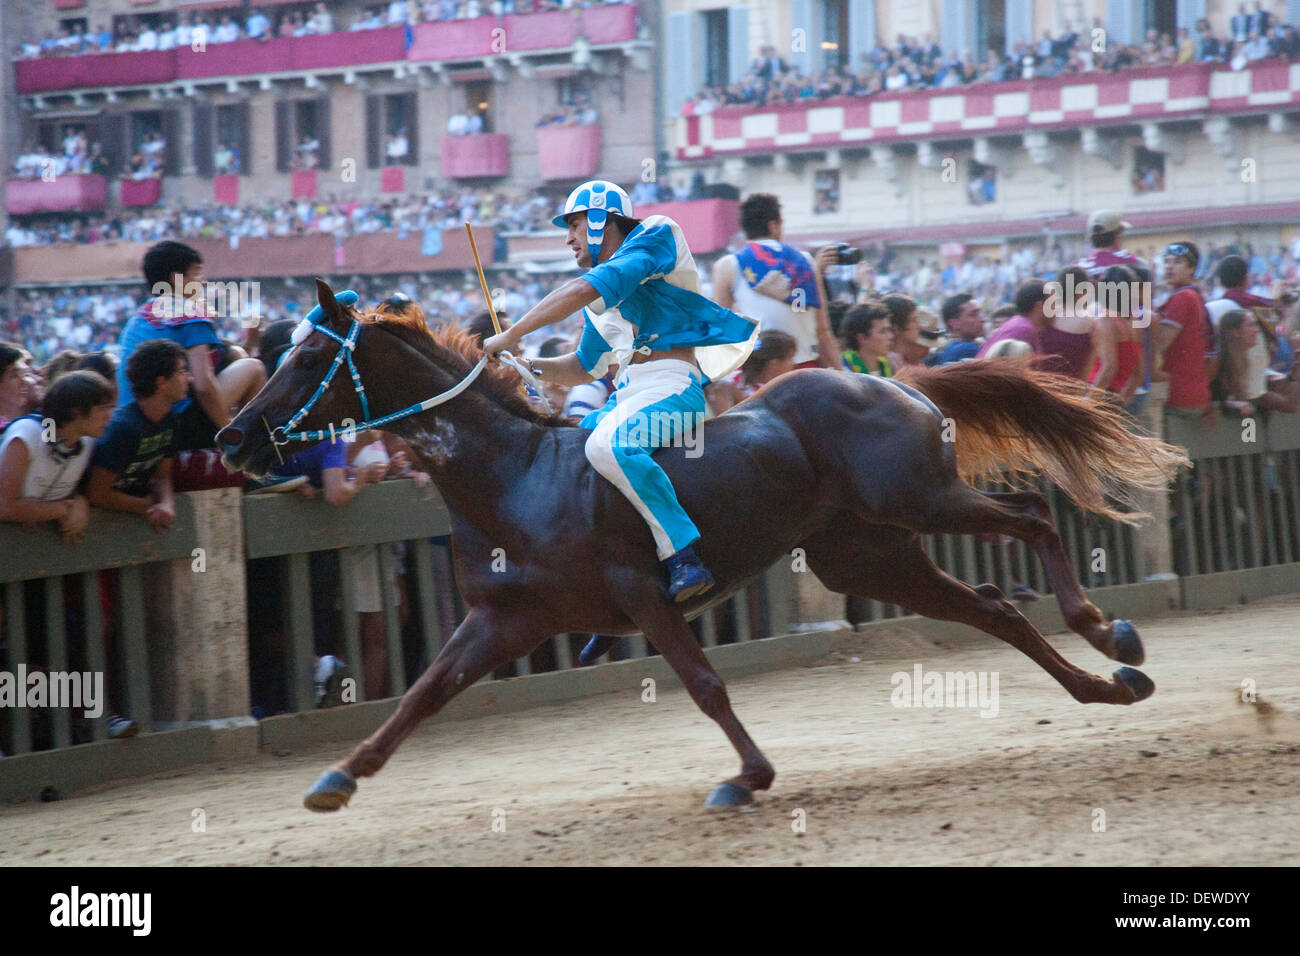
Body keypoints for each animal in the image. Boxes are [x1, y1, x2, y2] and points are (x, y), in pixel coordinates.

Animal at [220, 280, 1190, 811]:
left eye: (307, 359)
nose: (231, 439)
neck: (515, 474)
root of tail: (896, 381)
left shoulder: (645, 594)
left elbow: (704, 684)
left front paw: (747, 776)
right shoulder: (506, 620)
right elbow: (422, 694)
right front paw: (340, 776)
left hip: (917, 499)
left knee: (1031, 517)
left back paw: (1111, 632)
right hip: (870, 552)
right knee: (994, 610)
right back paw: (1106, 685)